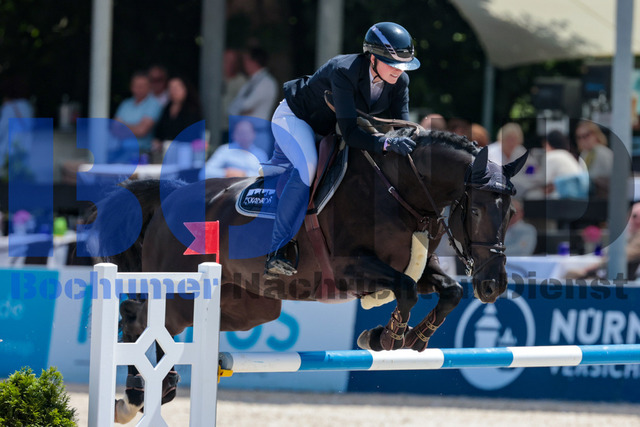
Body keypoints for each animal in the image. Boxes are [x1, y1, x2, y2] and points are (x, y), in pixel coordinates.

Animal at [89, 128, 527, 423]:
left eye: (510, 213)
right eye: (474, 210)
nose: (493, 285)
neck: (401, 192)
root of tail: (171, 196)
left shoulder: (419, 268)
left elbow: (449, 291)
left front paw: (415, 340)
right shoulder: (353, 268)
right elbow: (405, 291)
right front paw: (385, 338)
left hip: (249, 307)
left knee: (156, 322)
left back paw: (155, 390)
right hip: (183, 292)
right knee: (138, 317)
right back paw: (135, 396)